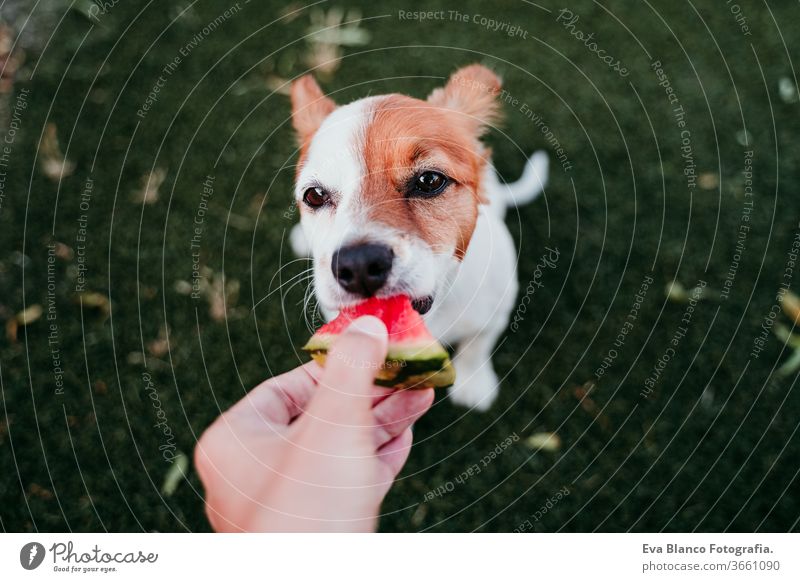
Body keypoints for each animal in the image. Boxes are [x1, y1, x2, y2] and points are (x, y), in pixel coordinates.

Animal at [290, 65, 552, 410]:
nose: (359, 265)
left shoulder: (495, 314)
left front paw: (474, 382)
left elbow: (477, 346)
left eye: (429, 180)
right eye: (315, 195)